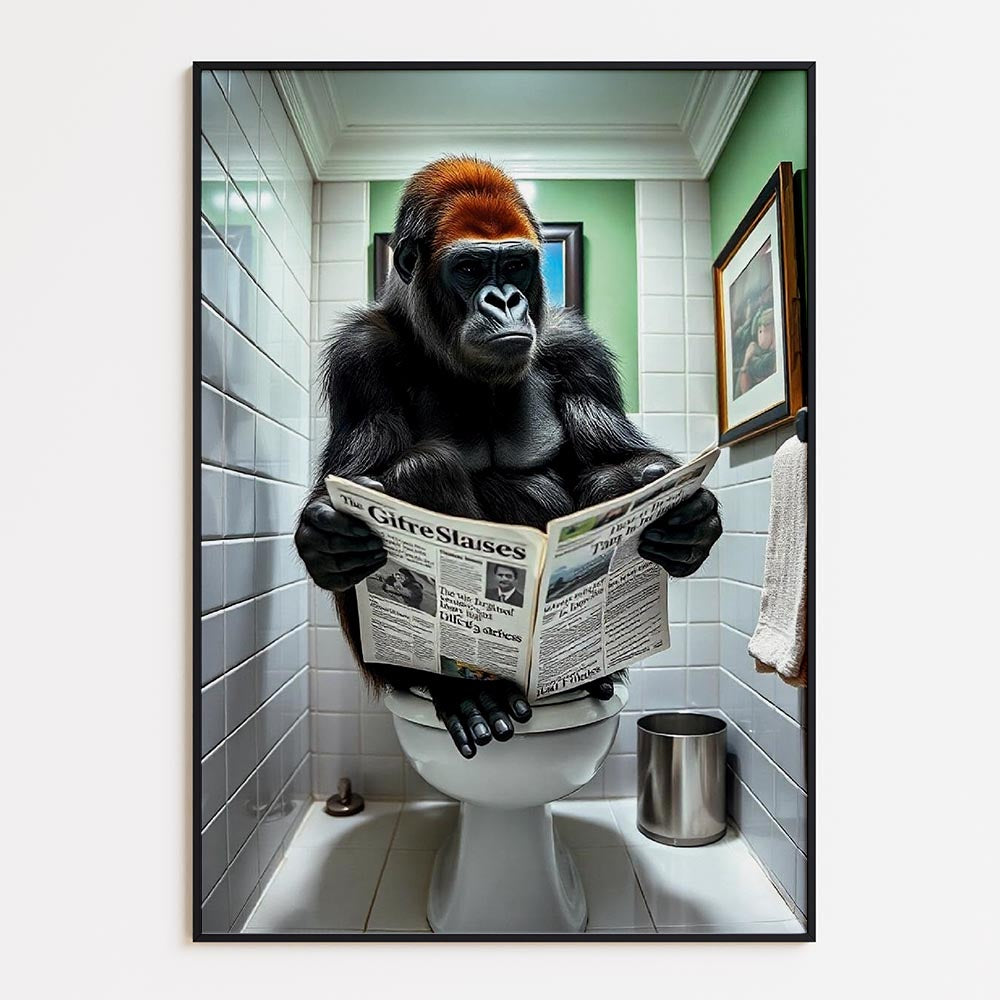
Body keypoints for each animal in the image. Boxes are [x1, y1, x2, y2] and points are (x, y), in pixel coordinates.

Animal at [296, 156, 722, 759]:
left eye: (517, 265)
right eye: (471, 269)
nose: (505, 301)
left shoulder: (577, 347)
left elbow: (617, 462)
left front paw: (688, 520)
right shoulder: (361, 354)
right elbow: (351, 480)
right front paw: (327, 538)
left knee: (607, 487)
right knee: (422, 470)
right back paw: (461, 690)